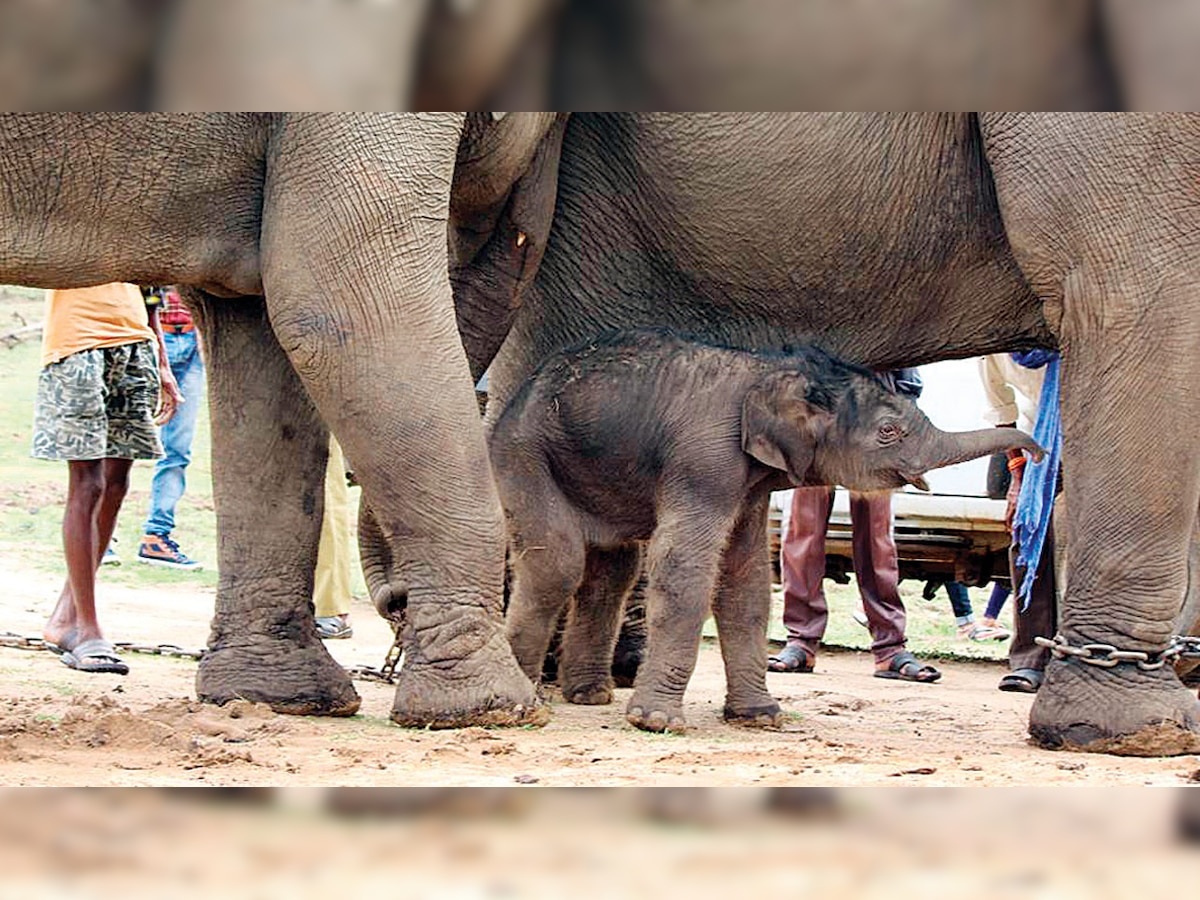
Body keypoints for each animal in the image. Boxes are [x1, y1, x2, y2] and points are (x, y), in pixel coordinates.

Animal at [487, 328, 1041, 734]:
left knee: (612, 571)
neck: (773, 371)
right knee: (557, 564)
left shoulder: (749, 484)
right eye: (889, 431)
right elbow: (683, 568)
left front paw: (760, 718)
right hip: (523, 455)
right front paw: (657, 723)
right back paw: (531, 696)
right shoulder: (705, 459)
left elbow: (745, 581)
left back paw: (589, 695)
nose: (1032, 453)